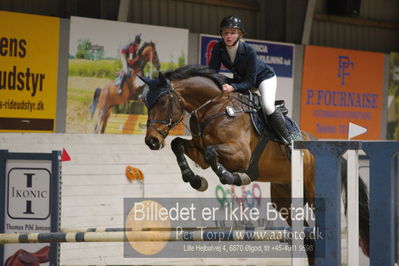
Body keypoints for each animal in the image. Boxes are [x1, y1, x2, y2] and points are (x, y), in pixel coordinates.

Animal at [141, 64, 372, 264]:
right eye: (146, 103)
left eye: (162, 102)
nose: (151, 141)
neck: (215, 107)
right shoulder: (198, 152)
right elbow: (178, 145)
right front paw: (195, 180)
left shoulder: (240, 154)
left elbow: (211, 154)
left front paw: (235, 177)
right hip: (284, 199)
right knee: (308, 236)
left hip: (316, 195)